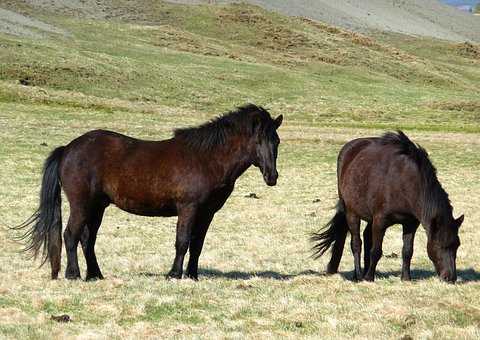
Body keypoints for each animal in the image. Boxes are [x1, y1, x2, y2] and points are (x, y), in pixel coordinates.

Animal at [16, 104, 284, 282]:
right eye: (259, 140)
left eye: (277, 141)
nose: (272, 177)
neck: (207, 159)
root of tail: (68, 148)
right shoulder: (188, 208)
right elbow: (182, 241)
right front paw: (174, 274)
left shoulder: (207, 213)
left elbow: (197, 244)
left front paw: (193, 275)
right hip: (82, 204)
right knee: (71, 235)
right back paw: (73, 275)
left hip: (97, 206)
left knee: (87, 239)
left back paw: (95, 275)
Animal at [314, 131, 464, 282]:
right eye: (440, 245)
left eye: (457, 245)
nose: (450, 277)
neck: (406, 183)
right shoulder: (380, 221)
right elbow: (376, 251)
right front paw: (369, 278)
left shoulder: (410, 223)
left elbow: (407, 251)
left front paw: (406, 278)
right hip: (352, 213)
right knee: (356, 243)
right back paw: (359, 275)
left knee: (366, 237)